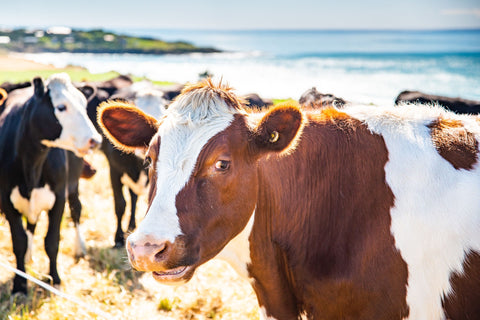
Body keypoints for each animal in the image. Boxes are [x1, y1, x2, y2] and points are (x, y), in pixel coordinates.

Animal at [0, 74, 101, 294]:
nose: (95, 140)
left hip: (73, 184)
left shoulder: (59, 198)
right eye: (61, 107)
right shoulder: (7, 201)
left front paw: (55, 278)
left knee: (77, 210)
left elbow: (52, 241)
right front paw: (20, 283)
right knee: (31, 224)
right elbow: (19, 241)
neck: (32, 162)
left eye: (84, 104)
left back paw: (79, 247)